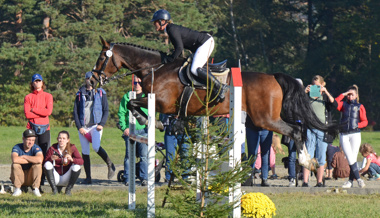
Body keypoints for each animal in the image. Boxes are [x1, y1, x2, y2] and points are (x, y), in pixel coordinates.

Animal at [92, 36, 336, 169]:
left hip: (265, 119)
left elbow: (134, 105)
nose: (93, 79)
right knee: (299, 129)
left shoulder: (162, 103)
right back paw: (309, 160)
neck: (156, 68)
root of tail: (274, 77)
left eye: (102, 57)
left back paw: (306, 162)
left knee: (295, 130)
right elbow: (136, 106)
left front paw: (153, 123)